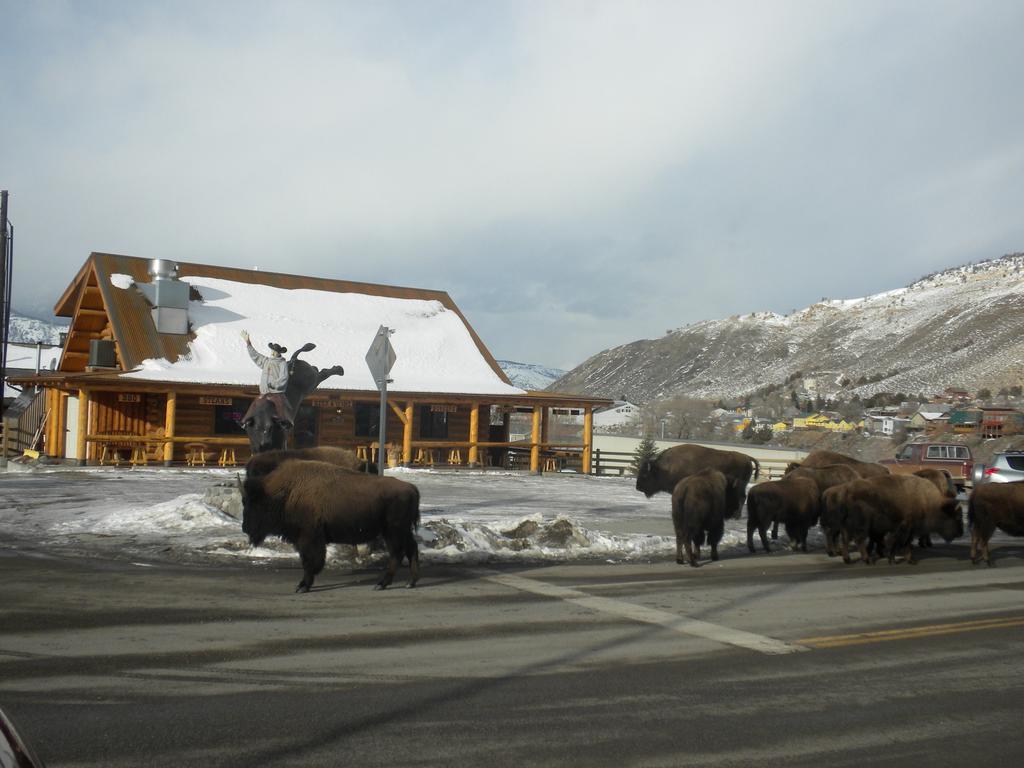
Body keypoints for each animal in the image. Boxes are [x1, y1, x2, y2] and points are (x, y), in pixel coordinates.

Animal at [239, 456, 419, 593]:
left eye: (252, 503)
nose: (244, 527)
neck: (286, 492)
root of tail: (411, 488)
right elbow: (308, 561)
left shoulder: (309, 538)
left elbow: (309, 562)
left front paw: (303, 586)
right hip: (402, 531)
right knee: (411, 549)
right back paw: (410, 582)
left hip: (393, 531)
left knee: (397, 554)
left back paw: (382, 584)